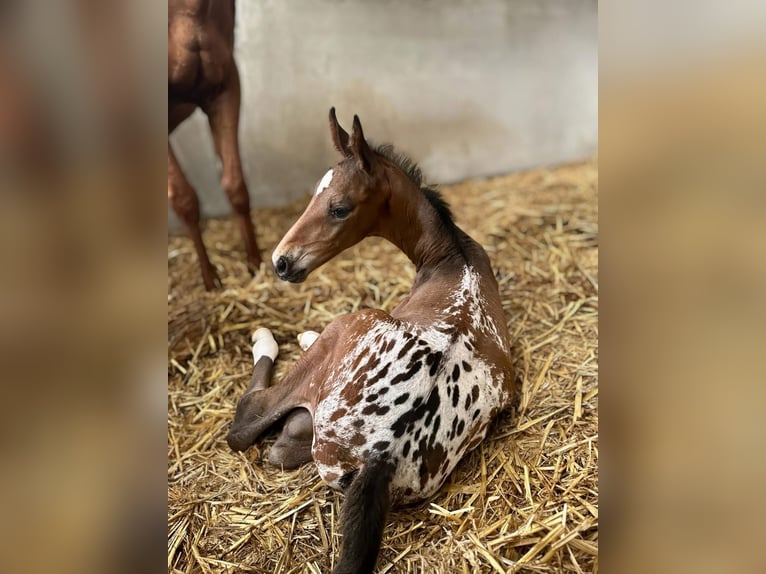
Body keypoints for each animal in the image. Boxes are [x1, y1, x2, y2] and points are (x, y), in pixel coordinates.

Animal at [227, 109, 516, 573]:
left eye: (340, 208)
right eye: (313, 196)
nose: (282, 262)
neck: (453, 257)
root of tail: (382, 452)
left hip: (347, 327)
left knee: (250, 419)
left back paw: (267, 337)